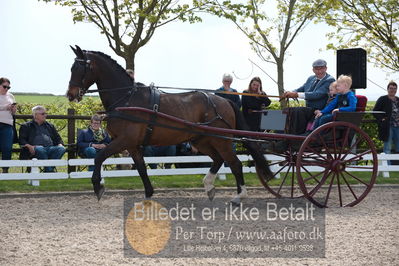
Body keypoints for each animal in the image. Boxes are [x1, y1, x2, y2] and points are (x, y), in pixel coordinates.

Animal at [68, 45, 276, 204]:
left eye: (79, 68)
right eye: (72, 68)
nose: (70, 94)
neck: (127, 98)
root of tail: (224, 101)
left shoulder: (124, 140)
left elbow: (99, 157)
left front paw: (98, 186)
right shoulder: (132, 145)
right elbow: (141, 168)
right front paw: (148, 194)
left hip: (221, 140)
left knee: (234, 163)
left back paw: (239, 196)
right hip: (201, 140)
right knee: (218, 160)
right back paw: (209, 186)